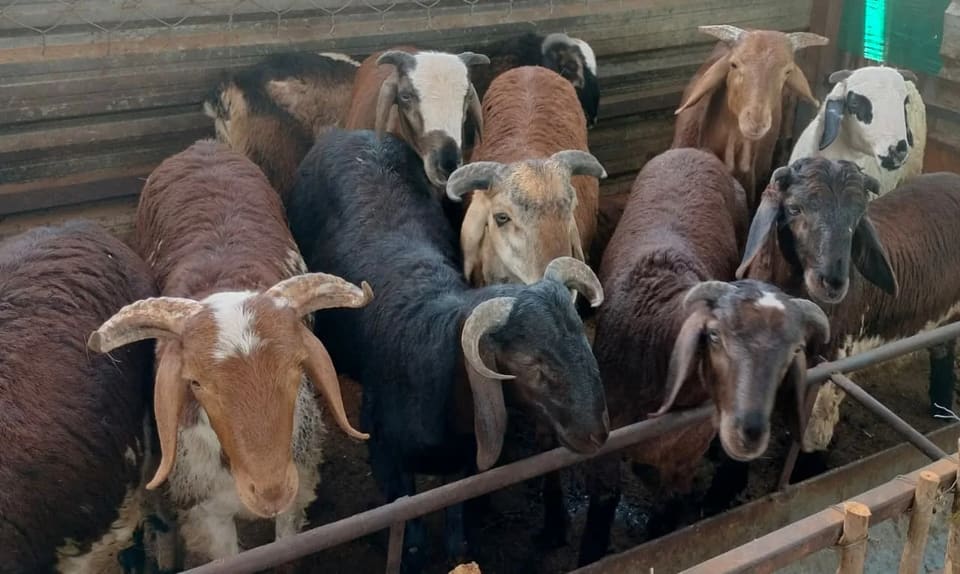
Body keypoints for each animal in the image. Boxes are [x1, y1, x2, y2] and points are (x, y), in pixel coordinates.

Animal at [86, 139, 372, 569]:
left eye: (296, 368)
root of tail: (203, 146)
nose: (270, 491)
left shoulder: (298, 489)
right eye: (196, 383)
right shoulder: (208, 512)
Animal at [286, 128, 610, 573]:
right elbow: (412, 540)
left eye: (581, 337)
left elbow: (457, 533)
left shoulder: (463, 461)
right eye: (530, 363)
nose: (598, 433)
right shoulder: (386, 461)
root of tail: (349, 132)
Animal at [577, 148, 831, 566]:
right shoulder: (604, 453)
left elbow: (665, 520)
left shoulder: (683, 459)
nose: (749, 430)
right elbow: (601, 507)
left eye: (792, 350)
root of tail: (695, 152)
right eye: (714, 336)